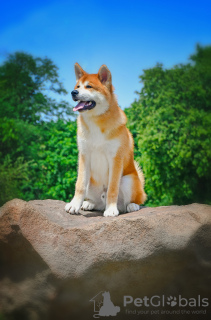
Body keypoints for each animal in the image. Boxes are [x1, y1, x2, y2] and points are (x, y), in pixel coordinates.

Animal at [64, 63, 147, 218]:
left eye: (89, 86)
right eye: (77, 86)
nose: (73, 92)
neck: (96, 121)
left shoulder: (115, 158)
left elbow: (112, 189)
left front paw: (111, 209)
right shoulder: (84, 156)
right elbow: (79, 186)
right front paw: (74, 205)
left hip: (128, 180)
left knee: (135, 200)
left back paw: (131, 206)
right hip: (91, 180)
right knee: (96, 202)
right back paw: (89, 203)